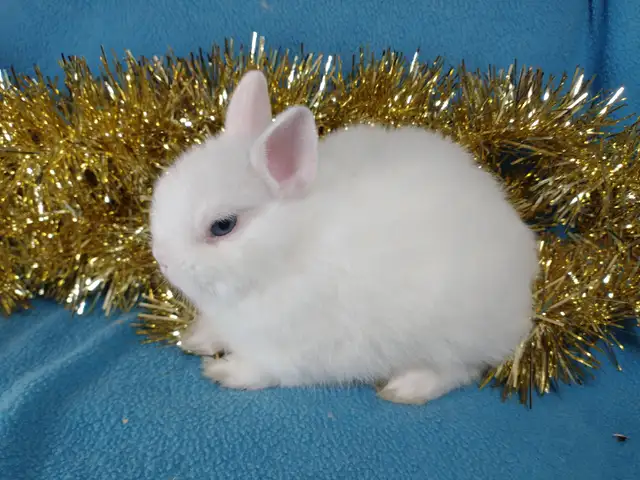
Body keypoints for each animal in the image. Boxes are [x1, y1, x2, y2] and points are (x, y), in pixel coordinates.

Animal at [150, 70, 539, 405]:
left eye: (223, 226)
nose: (162, 261)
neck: (288, 249)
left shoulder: (296, 347)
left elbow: (266, 368)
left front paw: (223, 371)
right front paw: (197, 339)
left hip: (448, 334)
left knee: (460, 370)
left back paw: (406, 388)